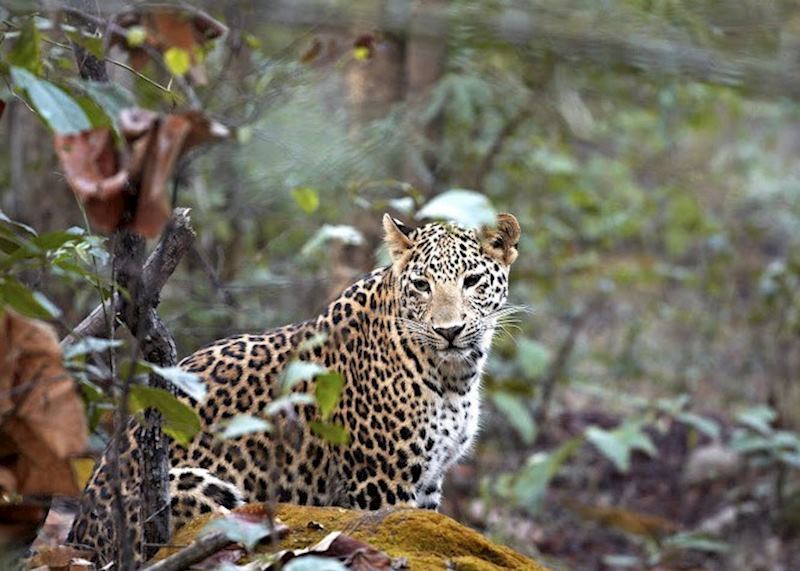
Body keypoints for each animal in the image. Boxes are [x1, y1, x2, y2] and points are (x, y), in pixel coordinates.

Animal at [66, 212, 521, 565]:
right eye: (423, 285)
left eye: (472, 281)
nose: (449, 331)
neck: (454, 376)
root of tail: (78, 538)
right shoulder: (381, 485)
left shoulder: (427, 482)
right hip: (193, 487)